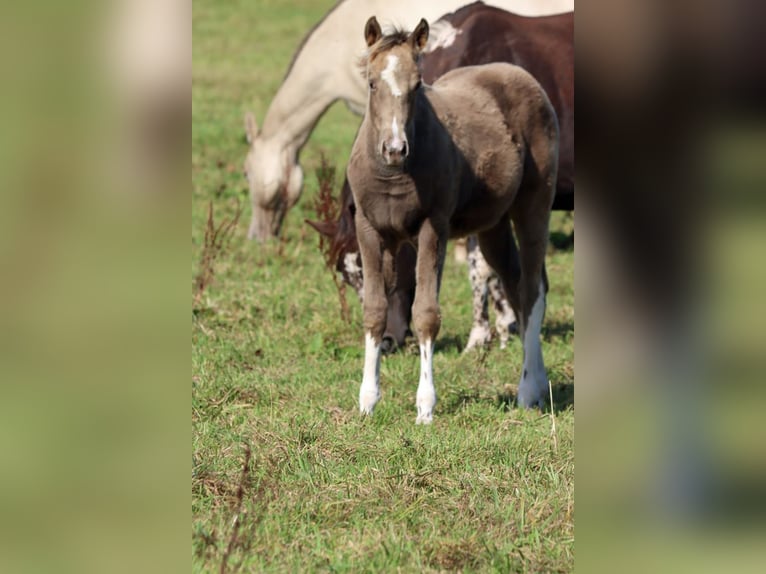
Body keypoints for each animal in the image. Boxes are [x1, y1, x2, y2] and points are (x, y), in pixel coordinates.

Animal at [308, 4, 573, 353]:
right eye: (347, 276)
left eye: (415, 85)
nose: (388, 341)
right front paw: (501, 327)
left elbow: (476, 271)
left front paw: (484, 335)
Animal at [347, 17, 558, 423]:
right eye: (371, 82)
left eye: (417, 85)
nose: (394, 149)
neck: (395, 175)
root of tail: (523, 76)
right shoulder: (369, 229)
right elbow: (375, 310)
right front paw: (366, 401)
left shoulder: (434, 228)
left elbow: (426, 313)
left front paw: (425, 406)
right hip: (493, 225)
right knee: (514, 282)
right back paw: (538, 385)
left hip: (534, 206)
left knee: (532, 290)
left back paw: (527, 390)